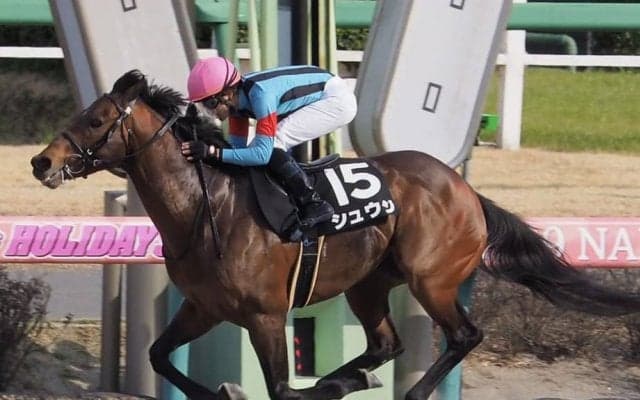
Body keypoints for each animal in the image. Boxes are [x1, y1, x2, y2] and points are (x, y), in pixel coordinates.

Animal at [30, 70, 640, 400]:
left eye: (94, 119)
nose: (41, 162)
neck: (206, 210)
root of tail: (467, 193)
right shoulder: (203, 307)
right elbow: (159, 356)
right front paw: (231, 387)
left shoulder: (265, 314)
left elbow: (279, 386)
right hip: (368, 283)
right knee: (386, 343)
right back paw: (350, 380)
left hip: (432, 278)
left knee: (464, 335)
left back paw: (401, 389)